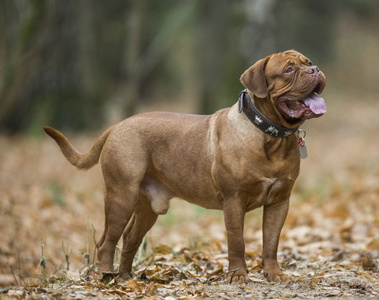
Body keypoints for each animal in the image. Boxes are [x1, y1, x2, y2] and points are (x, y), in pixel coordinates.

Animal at [43, 49, 326, 284]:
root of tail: (116, 126)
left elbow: (271, 243)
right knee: (106, 242)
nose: (315, 69)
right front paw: (238, 276)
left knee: (130, 238)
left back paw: (125, 278)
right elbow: (237, 241)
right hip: (121, 197)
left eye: (308, 62)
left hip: (147, 208)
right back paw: (106, 276)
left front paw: (274, 274)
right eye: (288, 70)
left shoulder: (279, 202)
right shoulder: (234, 200)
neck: (272, 135)